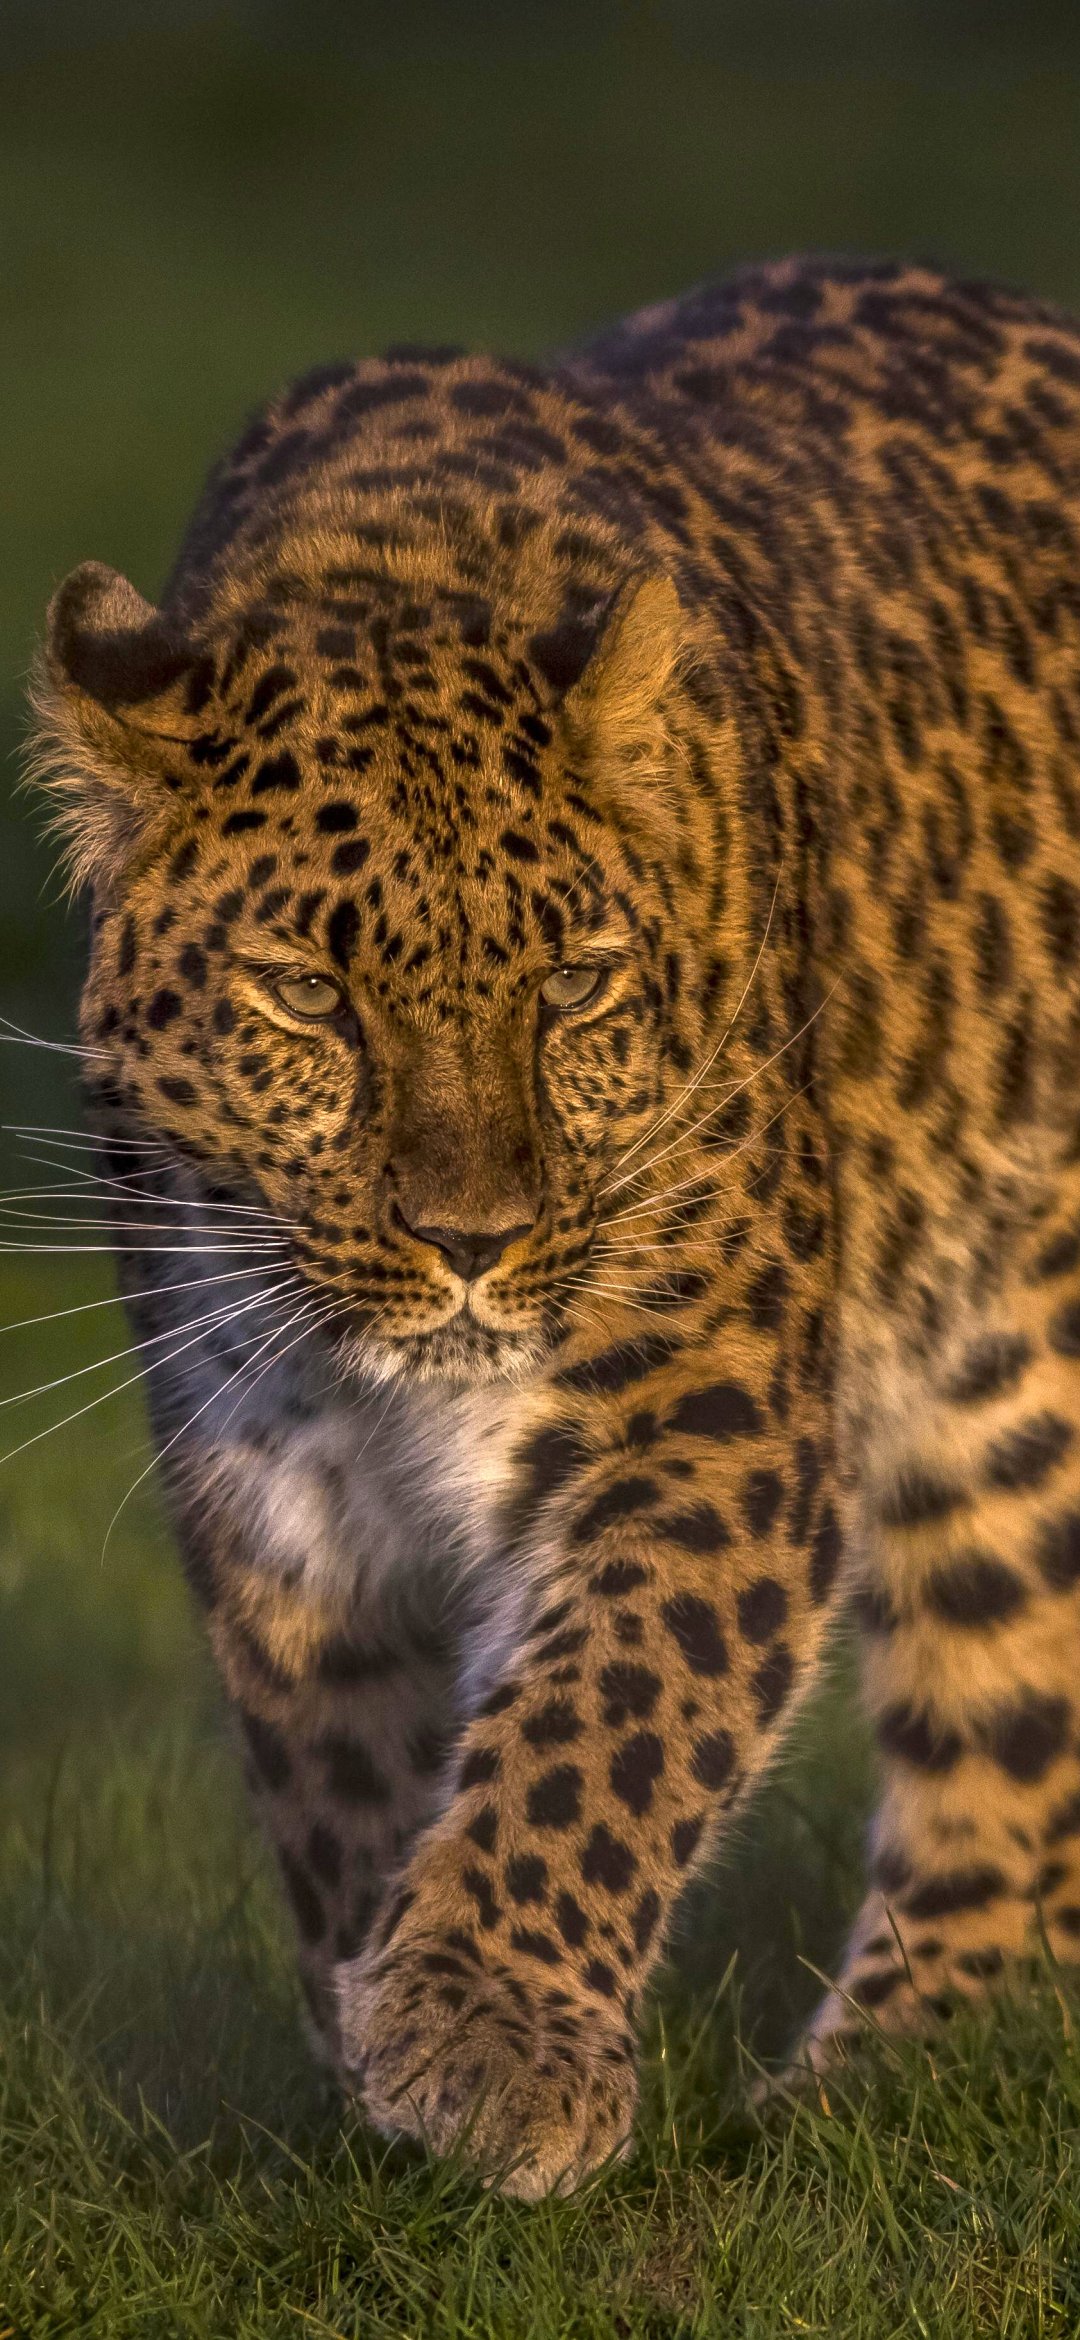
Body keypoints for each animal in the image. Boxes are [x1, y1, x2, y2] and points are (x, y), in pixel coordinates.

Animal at [27, 252, 1080, 2198]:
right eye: (308, 998)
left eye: (575, 985)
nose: (472, 1241)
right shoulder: (268, 1476)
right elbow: (339, 1780)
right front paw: (375, 2045)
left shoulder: (704, 1407)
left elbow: (607, 1715)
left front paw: (486, 2038)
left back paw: (870, 2089)